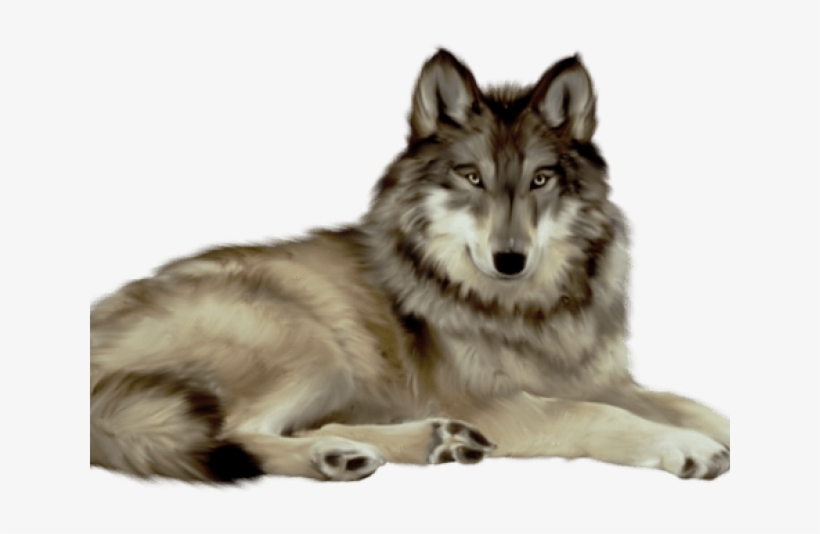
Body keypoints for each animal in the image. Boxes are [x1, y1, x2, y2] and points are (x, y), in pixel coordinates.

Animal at [90, 49, 730, 483]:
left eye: (540, 180)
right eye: (472, 177)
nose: (509, 259)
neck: (529, 308)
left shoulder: (611, 381)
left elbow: (695, 406)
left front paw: (712, 431)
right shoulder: (496, 404)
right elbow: (597, 415)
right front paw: (688, 447)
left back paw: (431, 443)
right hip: (312, 344)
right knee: (240, 433)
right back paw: (344, 455)